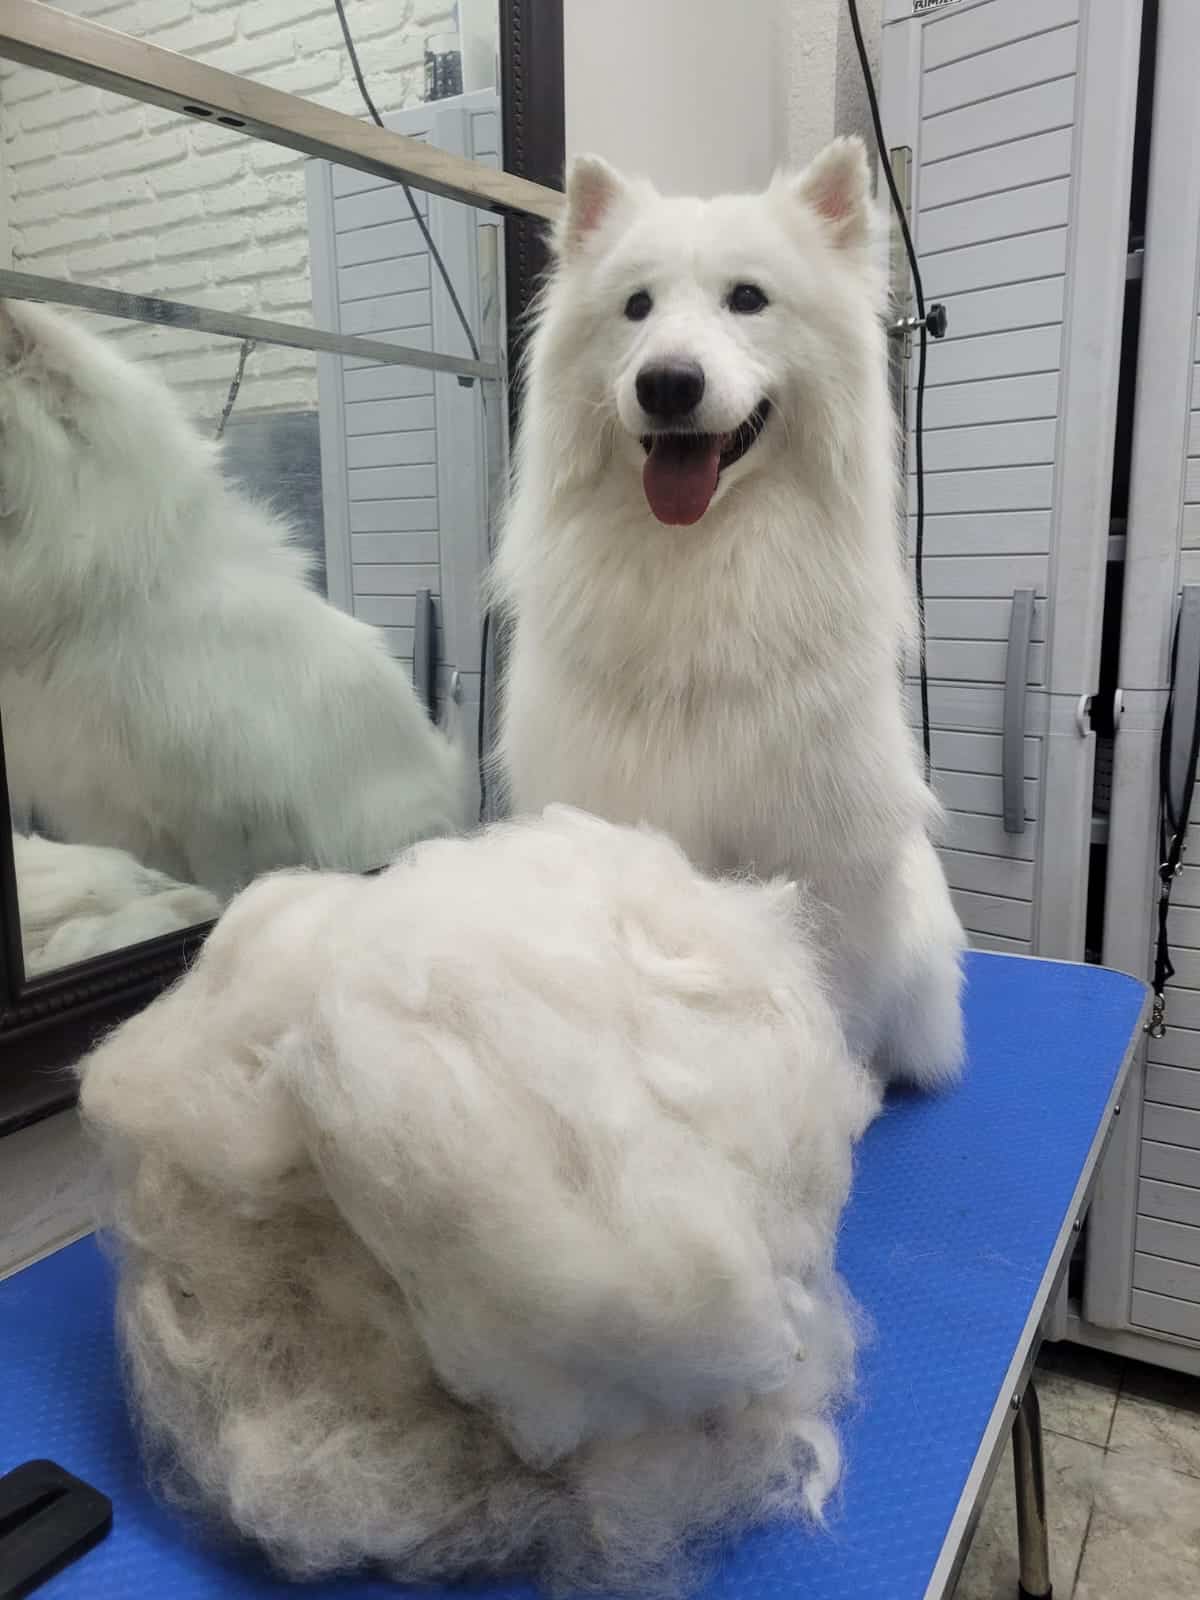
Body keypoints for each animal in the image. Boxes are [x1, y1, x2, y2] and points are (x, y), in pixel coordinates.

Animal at [492, 140, 972, 1088]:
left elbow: (831, 994)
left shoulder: (823, 858)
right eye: (636, 307)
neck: (701, 561)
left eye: (748, 298)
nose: (668, 384)